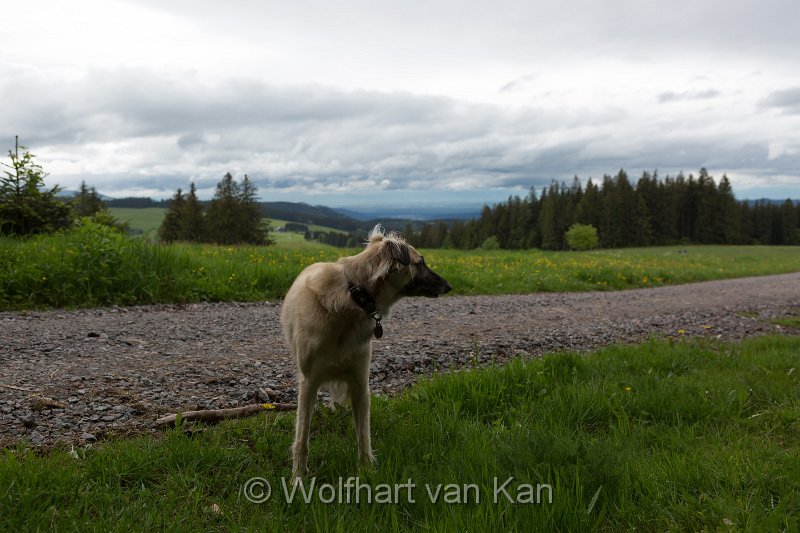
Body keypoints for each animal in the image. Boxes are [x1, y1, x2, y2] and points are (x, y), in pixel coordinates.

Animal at [282, 224, 454, 478]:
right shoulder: (309, 382)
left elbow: (363, 433)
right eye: (421, 262)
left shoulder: (360, 382)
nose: (448, 286)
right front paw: (298, 478)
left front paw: (366, 470)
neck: (354, 297)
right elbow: (301, 438)